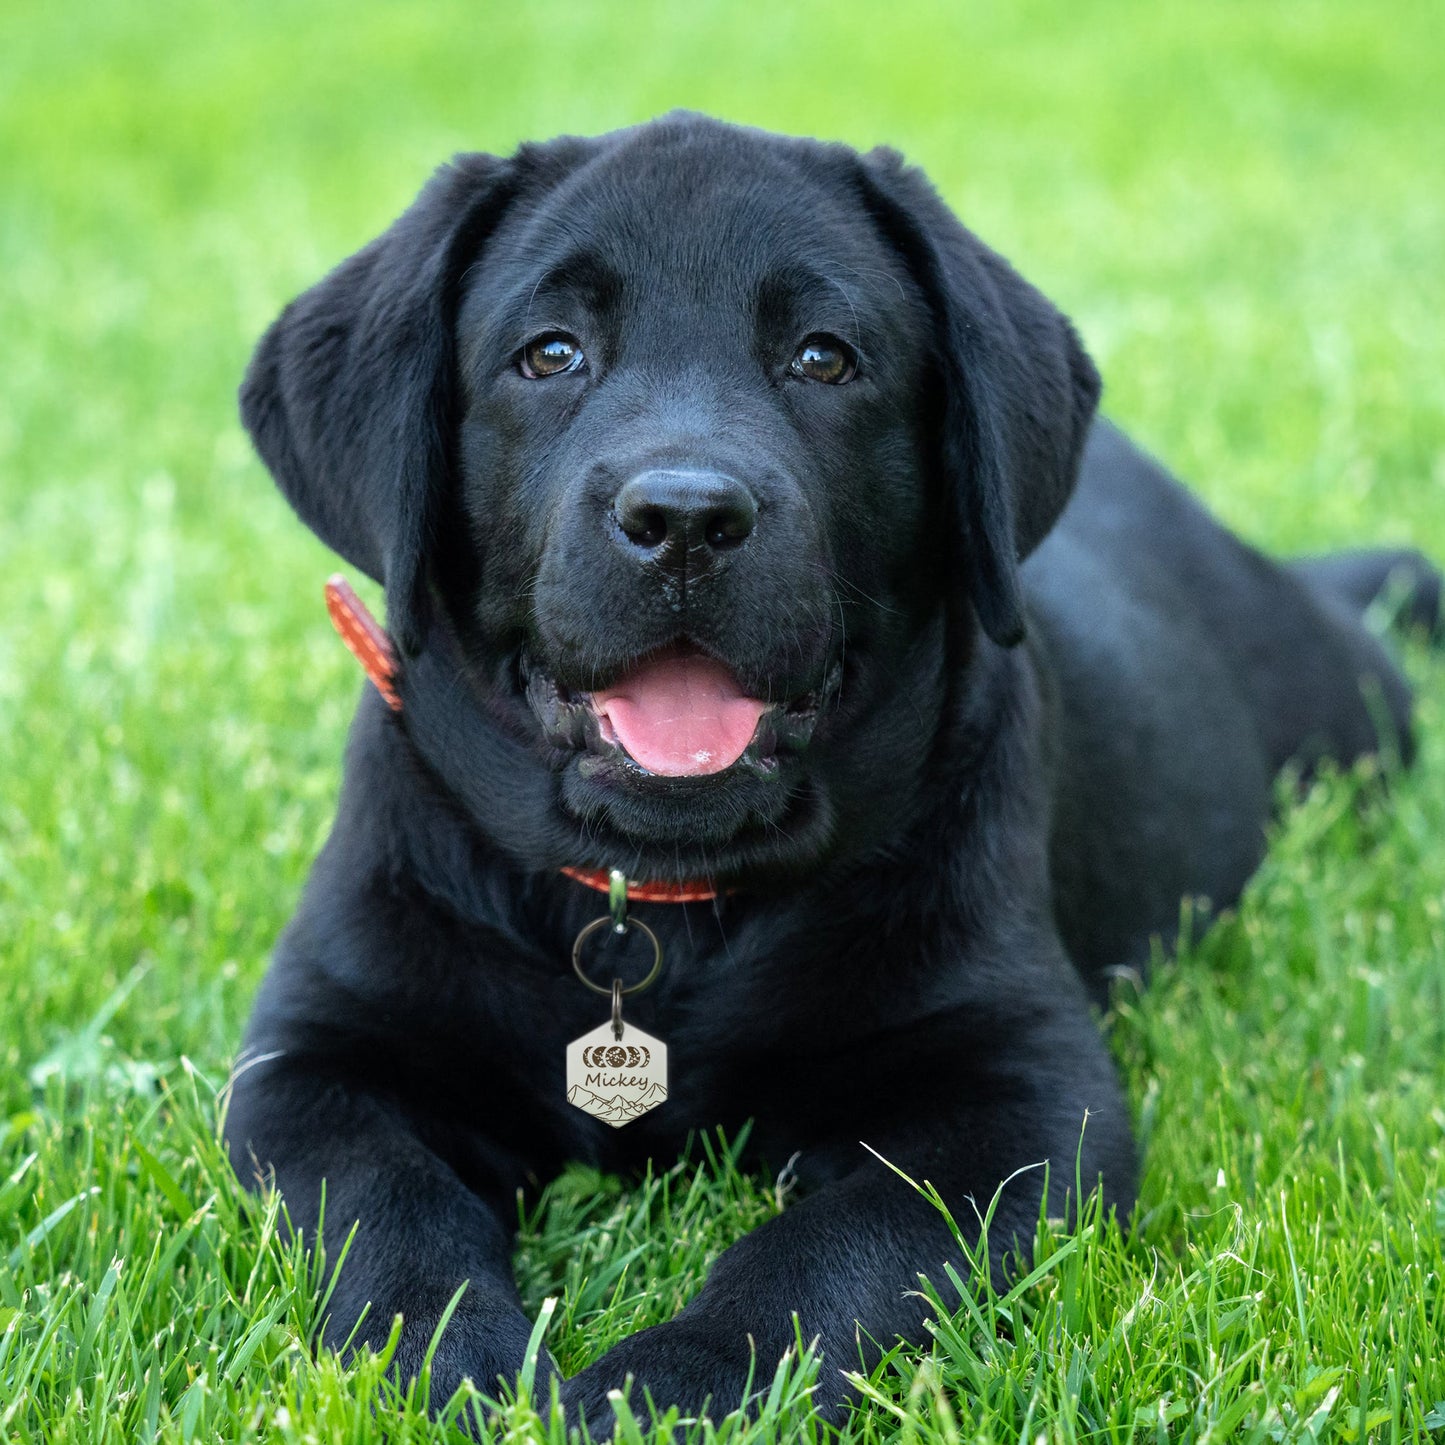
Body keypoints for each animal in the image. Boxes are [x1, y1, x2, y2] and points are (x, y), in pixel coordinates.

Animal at [222, 112, 1433, 1421]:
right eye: (548, 354)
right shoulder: (316, 1060)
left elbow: (832, 1247)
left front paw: (666, 1386)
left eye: (822, 357)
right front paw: (463, 1366)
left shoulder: (1022, 1089)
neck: (657, 919)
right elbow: (388, 1205)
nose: (685, 518)